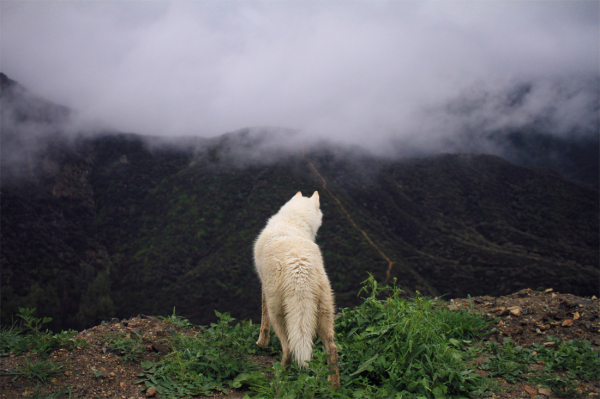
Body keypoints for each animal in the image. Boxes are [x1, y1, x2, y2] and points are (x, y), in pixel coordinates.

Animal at [252, 192, 338, 390]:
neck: (293, 220)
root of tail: (299, 266)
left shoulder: (263, 289)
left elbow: (263, 321)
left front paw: (261, 343)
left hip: (278, 313)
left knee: (289, 348)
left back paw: (279, 380)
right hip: (324, 312)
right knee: (332, 348)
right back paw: (333, 386)